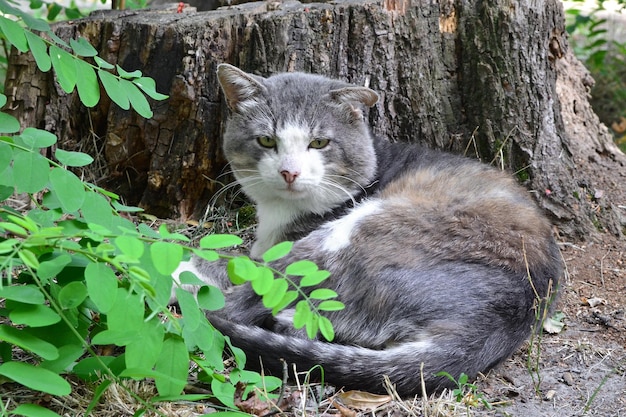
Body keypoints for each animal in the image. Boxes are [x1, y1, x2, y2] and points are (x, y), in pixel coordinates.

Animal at [171, 63, 560, 394]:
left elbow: (232, 267)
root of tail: (500, 319)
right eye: (267, 140)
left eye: (319, 143)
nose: (290, 172)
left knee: (233, 306)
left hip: (357, 232)